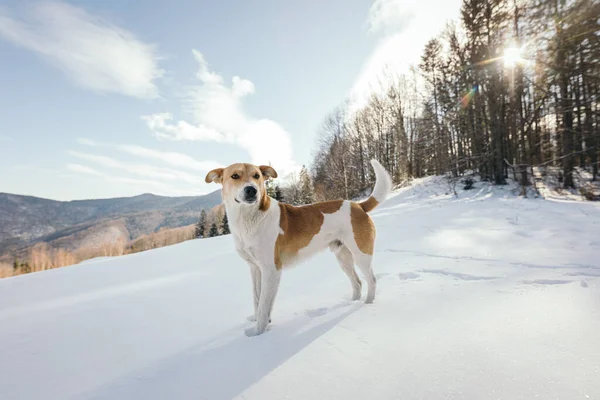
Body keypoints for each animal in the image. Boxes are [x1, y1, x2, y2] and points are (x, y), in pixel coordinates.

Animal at [205, 159, 394, 338]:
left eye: (257, 176)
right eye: (235, 176)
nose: (252, 190)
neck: (249, 218)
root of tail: (358, 206)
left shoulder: (271, 270)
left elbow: (264, 304)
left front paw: (258, 333)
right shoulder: (255, 269)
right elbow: (257, 300)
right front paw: (260, 320)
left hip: (361, 254)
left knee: (372, 280)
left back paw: (366, 305)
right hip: (343, 257)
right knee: (357, 282)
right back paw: (351, 302)